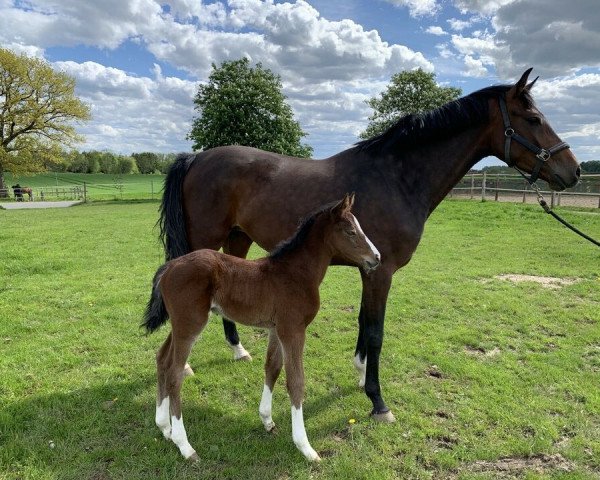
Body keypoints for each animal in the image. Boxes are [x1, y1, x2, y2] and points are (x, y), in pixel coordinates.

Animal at [142, 194, 380, 462]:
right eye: (351, 231)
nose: (377, 258)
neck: (296, 273)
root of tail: (169, 267)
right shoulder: (293, 330)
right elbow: (296, 381)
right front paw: (305, 447)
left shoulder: (277, 329)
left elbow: (272, 368)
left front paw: (267, 419)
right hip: (190, 324)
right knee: (174, 374)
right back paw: (185, 445)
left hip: (181, 324)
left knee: (162, 359)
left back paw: (164, 427)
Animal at [157, 67, 580, 420]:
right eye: (533, 119)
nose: (573, 171)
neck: (398, 177)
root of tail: (194, 158)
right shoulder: (382, 271)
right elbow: (376, 331)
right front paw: (378, 401)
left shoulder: (371, 267)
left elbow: (364, 322)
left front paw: (361, 375)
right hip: (204, 242)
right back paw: (187, 363)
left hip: (237, 238)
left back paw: (238, 349)